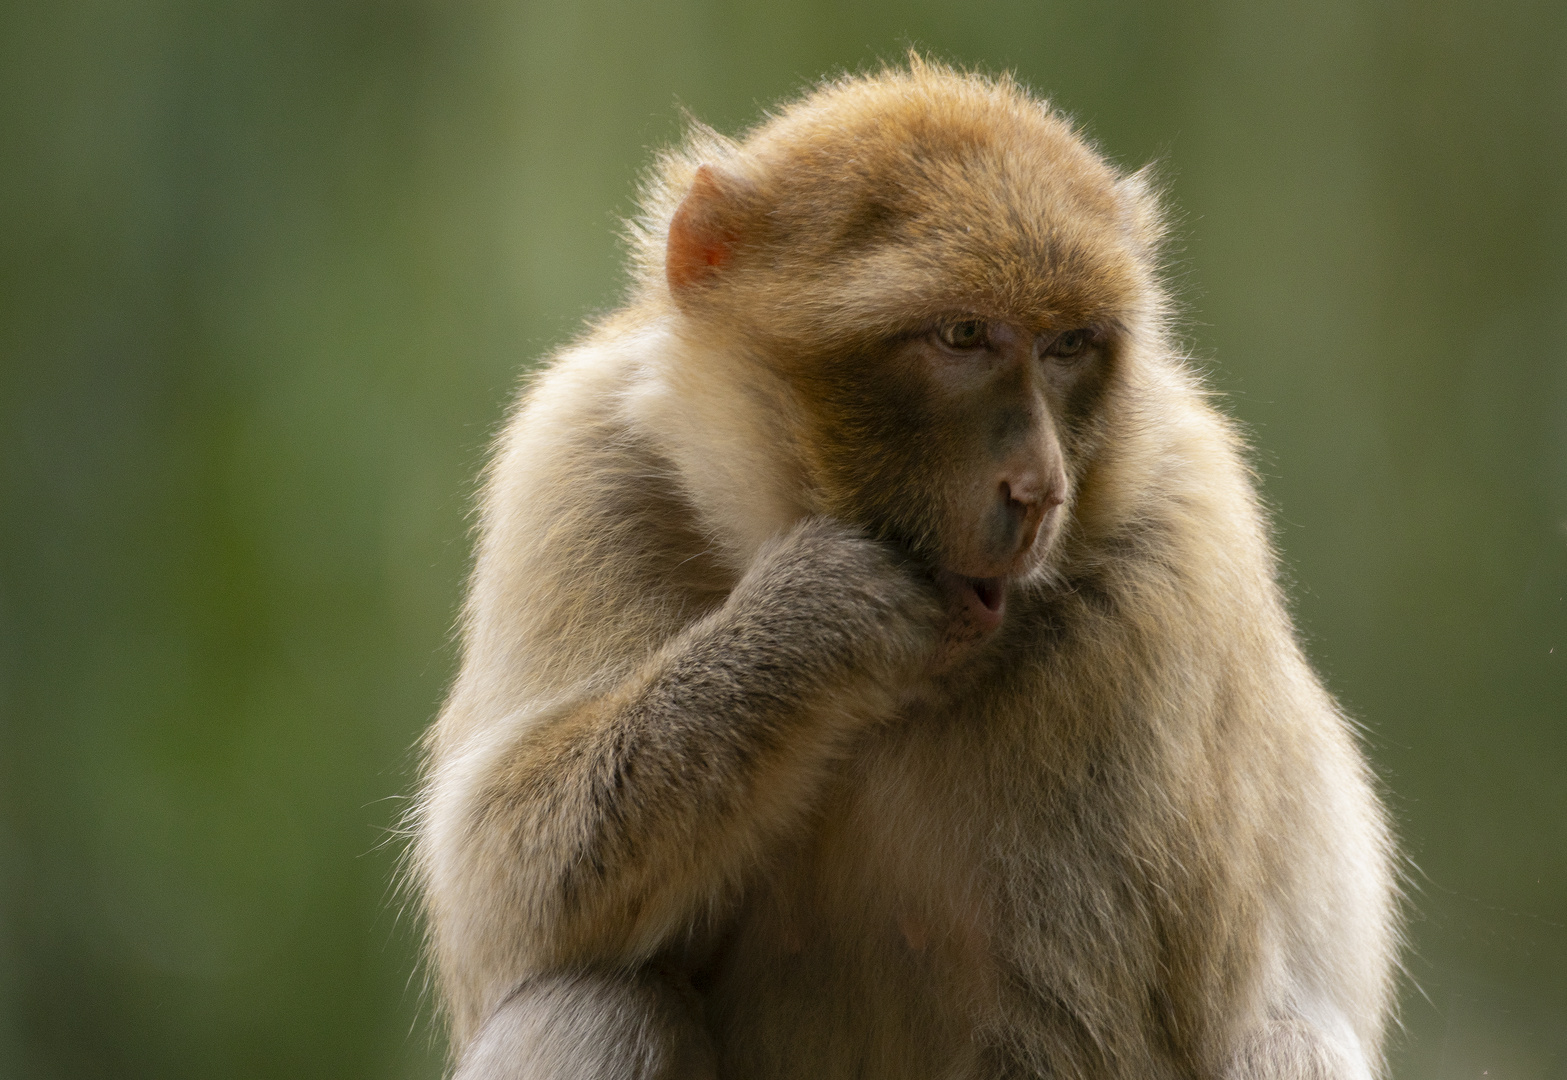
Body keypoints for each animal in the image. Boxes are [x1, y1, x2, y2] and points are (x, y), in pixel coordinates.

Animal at [410, 61, 1404, 1078]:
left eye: (1067, 346)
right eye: (962, 336)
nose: (1040, 489)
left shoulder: (1169, 578)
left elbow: (1095, 1040)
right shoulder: (580, 459)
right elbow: (498, 883)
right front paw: (818, 621)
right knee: (593, 998)